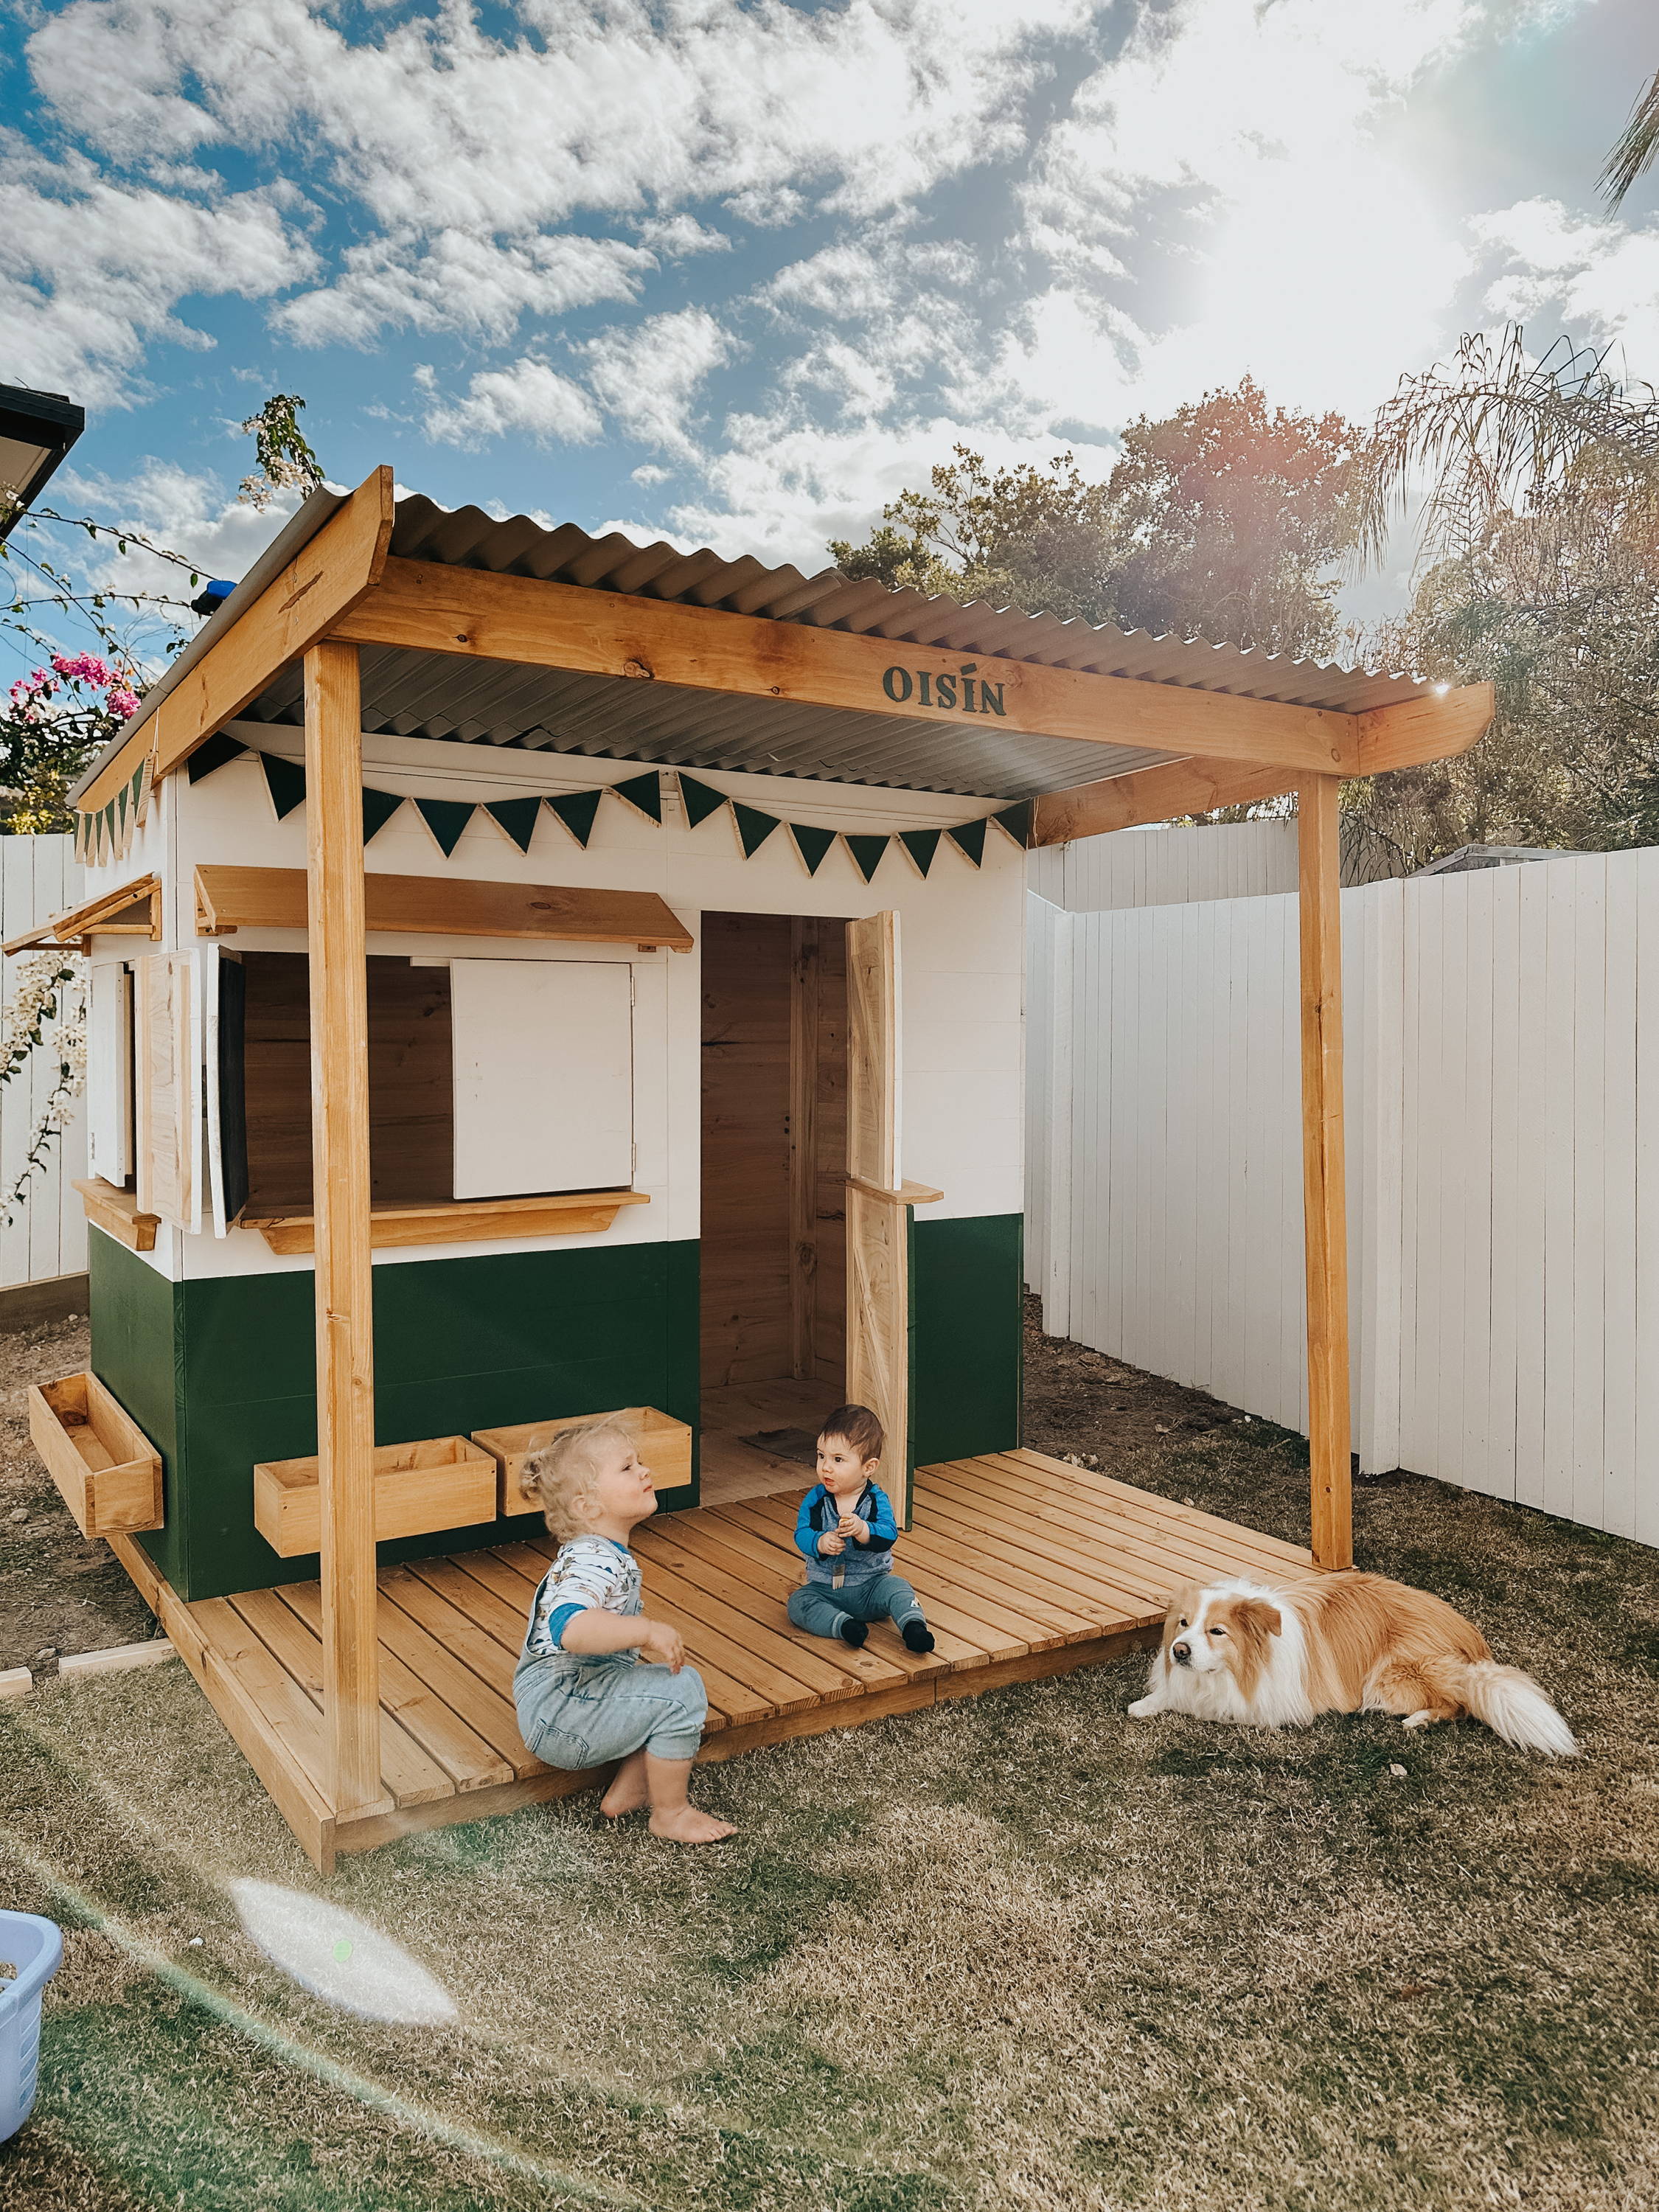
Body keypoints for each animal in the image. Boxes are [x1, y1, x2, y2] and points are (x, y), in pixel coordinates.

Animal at [1133, 1566, 1584, 1752]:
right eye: (1184, 1624)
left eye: (1217, 1631)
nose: (1179, 1650)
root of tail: (1473, 1641)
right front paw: (1146, 1704)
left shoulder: (1265, 1705)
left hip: (1393, 1676)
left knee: (1460, 1702)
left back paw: (1420, 1719)